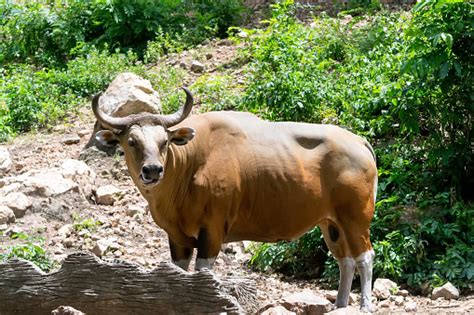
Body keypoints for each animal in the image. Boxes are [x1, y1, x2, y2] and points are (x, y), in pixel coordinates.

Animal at [93, 87, 378, 312]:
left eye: (165, 141)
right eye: (131, 141)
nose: (152, 170)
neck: (189, 165)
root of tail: (360, 142)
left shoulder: (213, 230)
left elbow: (204, 272)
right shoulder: (176, 237)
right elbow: (179, 272)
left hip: (356, 218)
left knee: (364, 257)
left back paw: (365, 306)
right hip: (330, 223)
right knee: (345, 260)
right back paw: (339, 305)